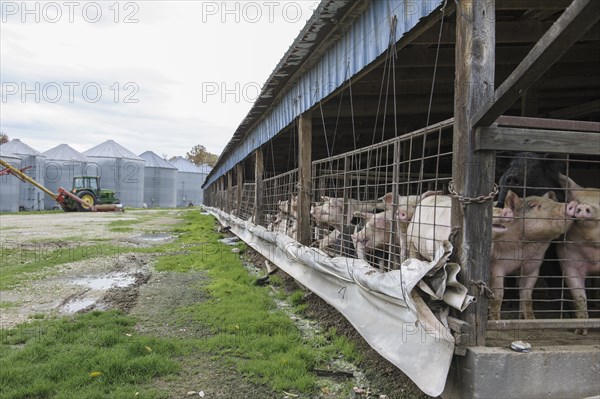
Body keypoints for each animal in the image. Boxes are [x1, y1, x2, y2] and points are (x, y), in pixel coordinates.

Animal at [490, 191, 580, 322]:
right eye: (532, 205)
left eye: (553, 201)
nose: (571, 204)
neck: (523, 249)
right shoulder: (496, 265)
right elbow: (497, 296)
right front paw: (496, 320)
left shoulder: (532, 267)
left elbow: (527, 296)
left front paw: (531, 320)